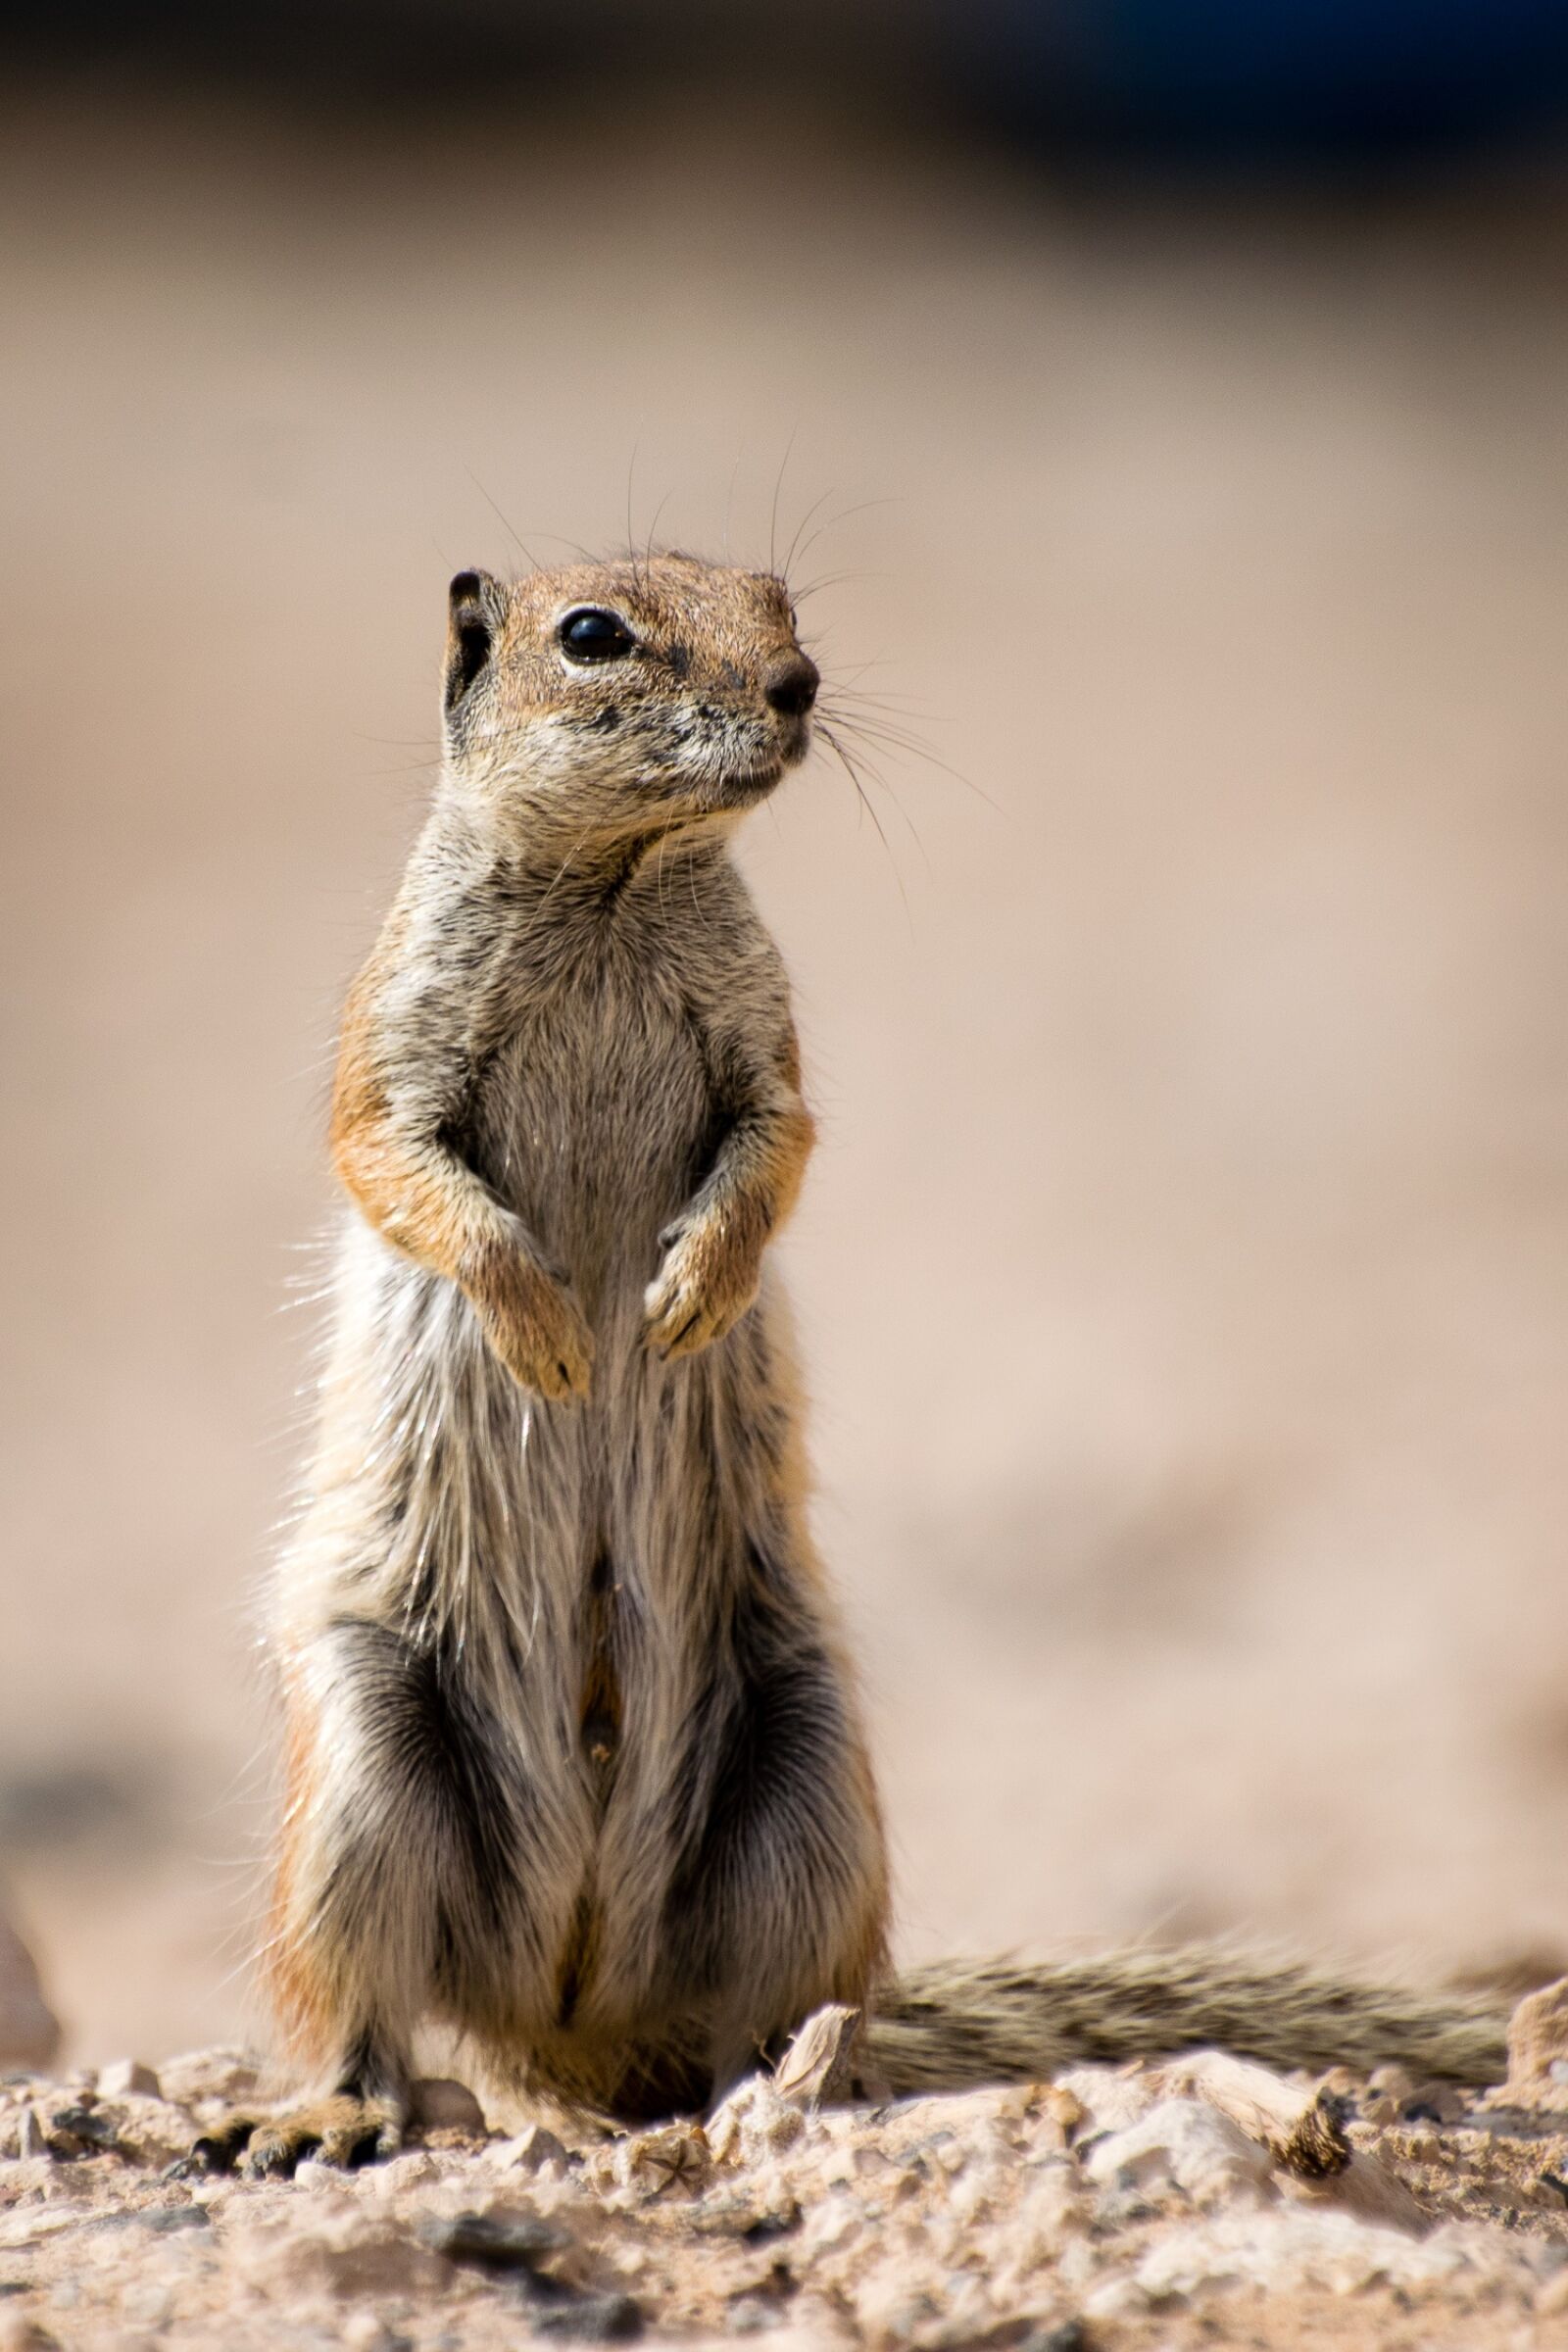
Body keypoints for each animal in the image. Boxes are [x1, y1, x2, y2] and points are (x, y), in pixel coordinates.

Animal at [207, 552, 1506, 2175]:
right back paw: (333, 2113)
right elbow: (397, 1163)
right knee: (362, 2007)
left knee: (779, 2013)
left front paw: (687, 1295)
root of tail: (568, 2019)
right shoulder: (393, 1034)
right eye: (592, 634)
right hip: (363, 1767)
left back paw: (783, 2097)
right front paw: (555, 1331)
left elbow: (779, 1145)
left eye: (778, 601)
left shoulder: (765, 1038)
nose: (798, 685)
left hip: (810, 1770)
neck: (619, 883)